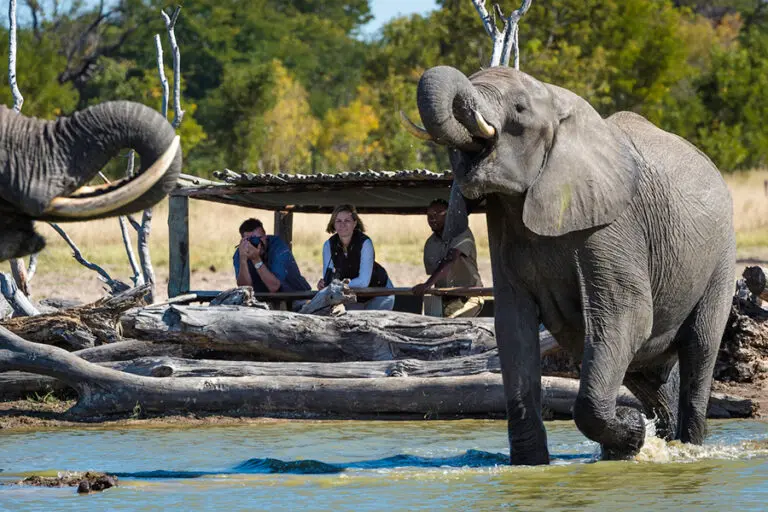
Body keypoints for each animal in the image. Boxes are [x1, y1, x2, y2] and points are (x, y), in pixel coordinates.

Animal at [407, 65, 735, 464]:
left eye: (519, 109)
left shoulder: (613, 226)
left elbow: (626, 315)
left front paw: (632, 430)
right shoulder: (502, 228)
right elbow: (513, 327)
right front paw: (531, 465)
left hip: (721, 256)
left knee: (698, 349)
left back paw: (684, 448)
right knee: (646, 372)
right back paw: (649, 445)